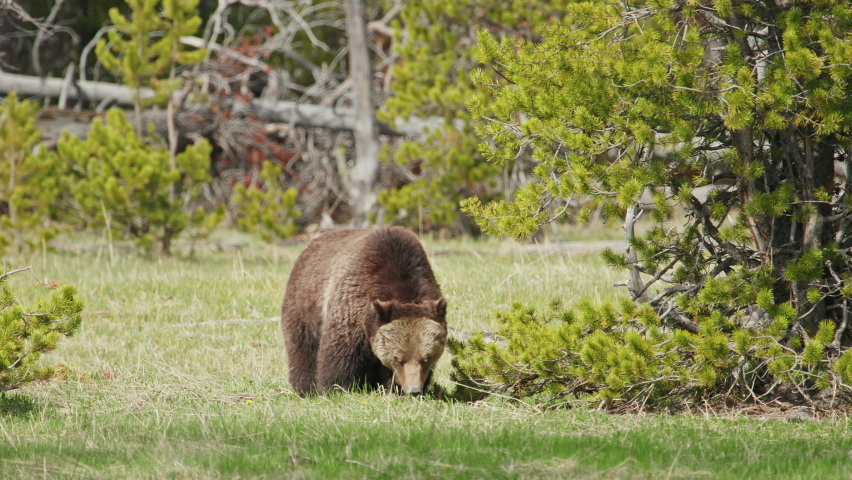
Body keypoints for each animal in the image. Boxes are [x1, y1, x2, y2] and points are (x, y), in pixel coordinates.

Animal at [282, 227, 450, 396]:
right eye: (399, 359)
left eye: (426, 358)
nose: (414, 390)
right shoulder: (353, 307)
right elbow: (341, 355)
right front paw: (336, 388)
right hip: (305, 308)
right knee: (303, 348)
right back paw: (305, 388)